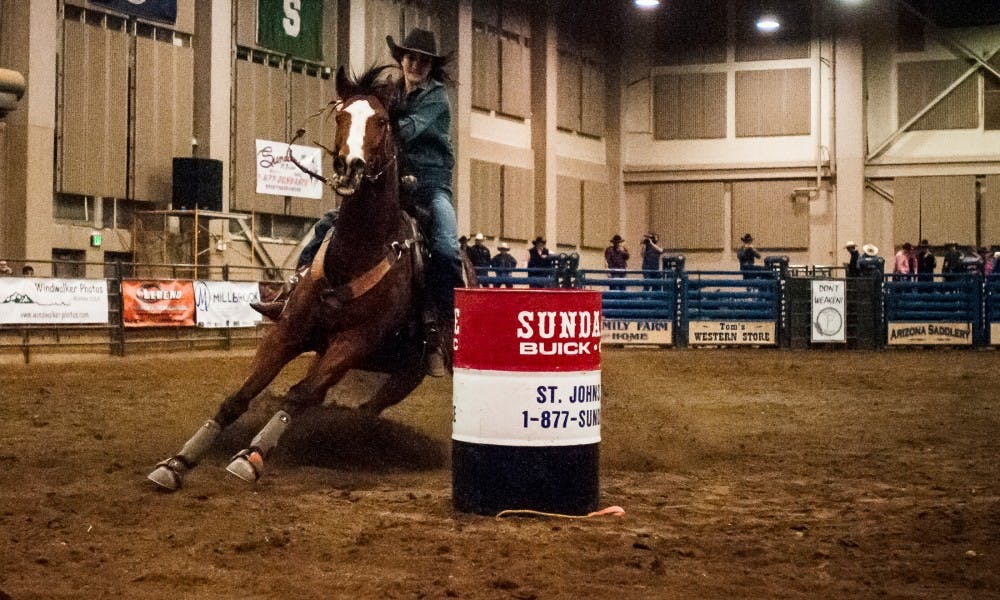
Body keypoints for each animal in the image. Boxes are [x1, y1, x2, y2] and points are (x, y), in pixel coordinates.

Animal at [150, 67, 470, 492]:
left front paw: (250, 458)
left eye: (382, 122)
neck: (357, 254)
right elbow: (240, 395)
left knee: (363, 407)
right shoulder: (289, 330)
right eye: (341, 116)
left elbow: (298, 395)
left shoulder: (353, 341)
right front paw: (178, 462)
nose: (350, 166)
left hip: (409, 372)